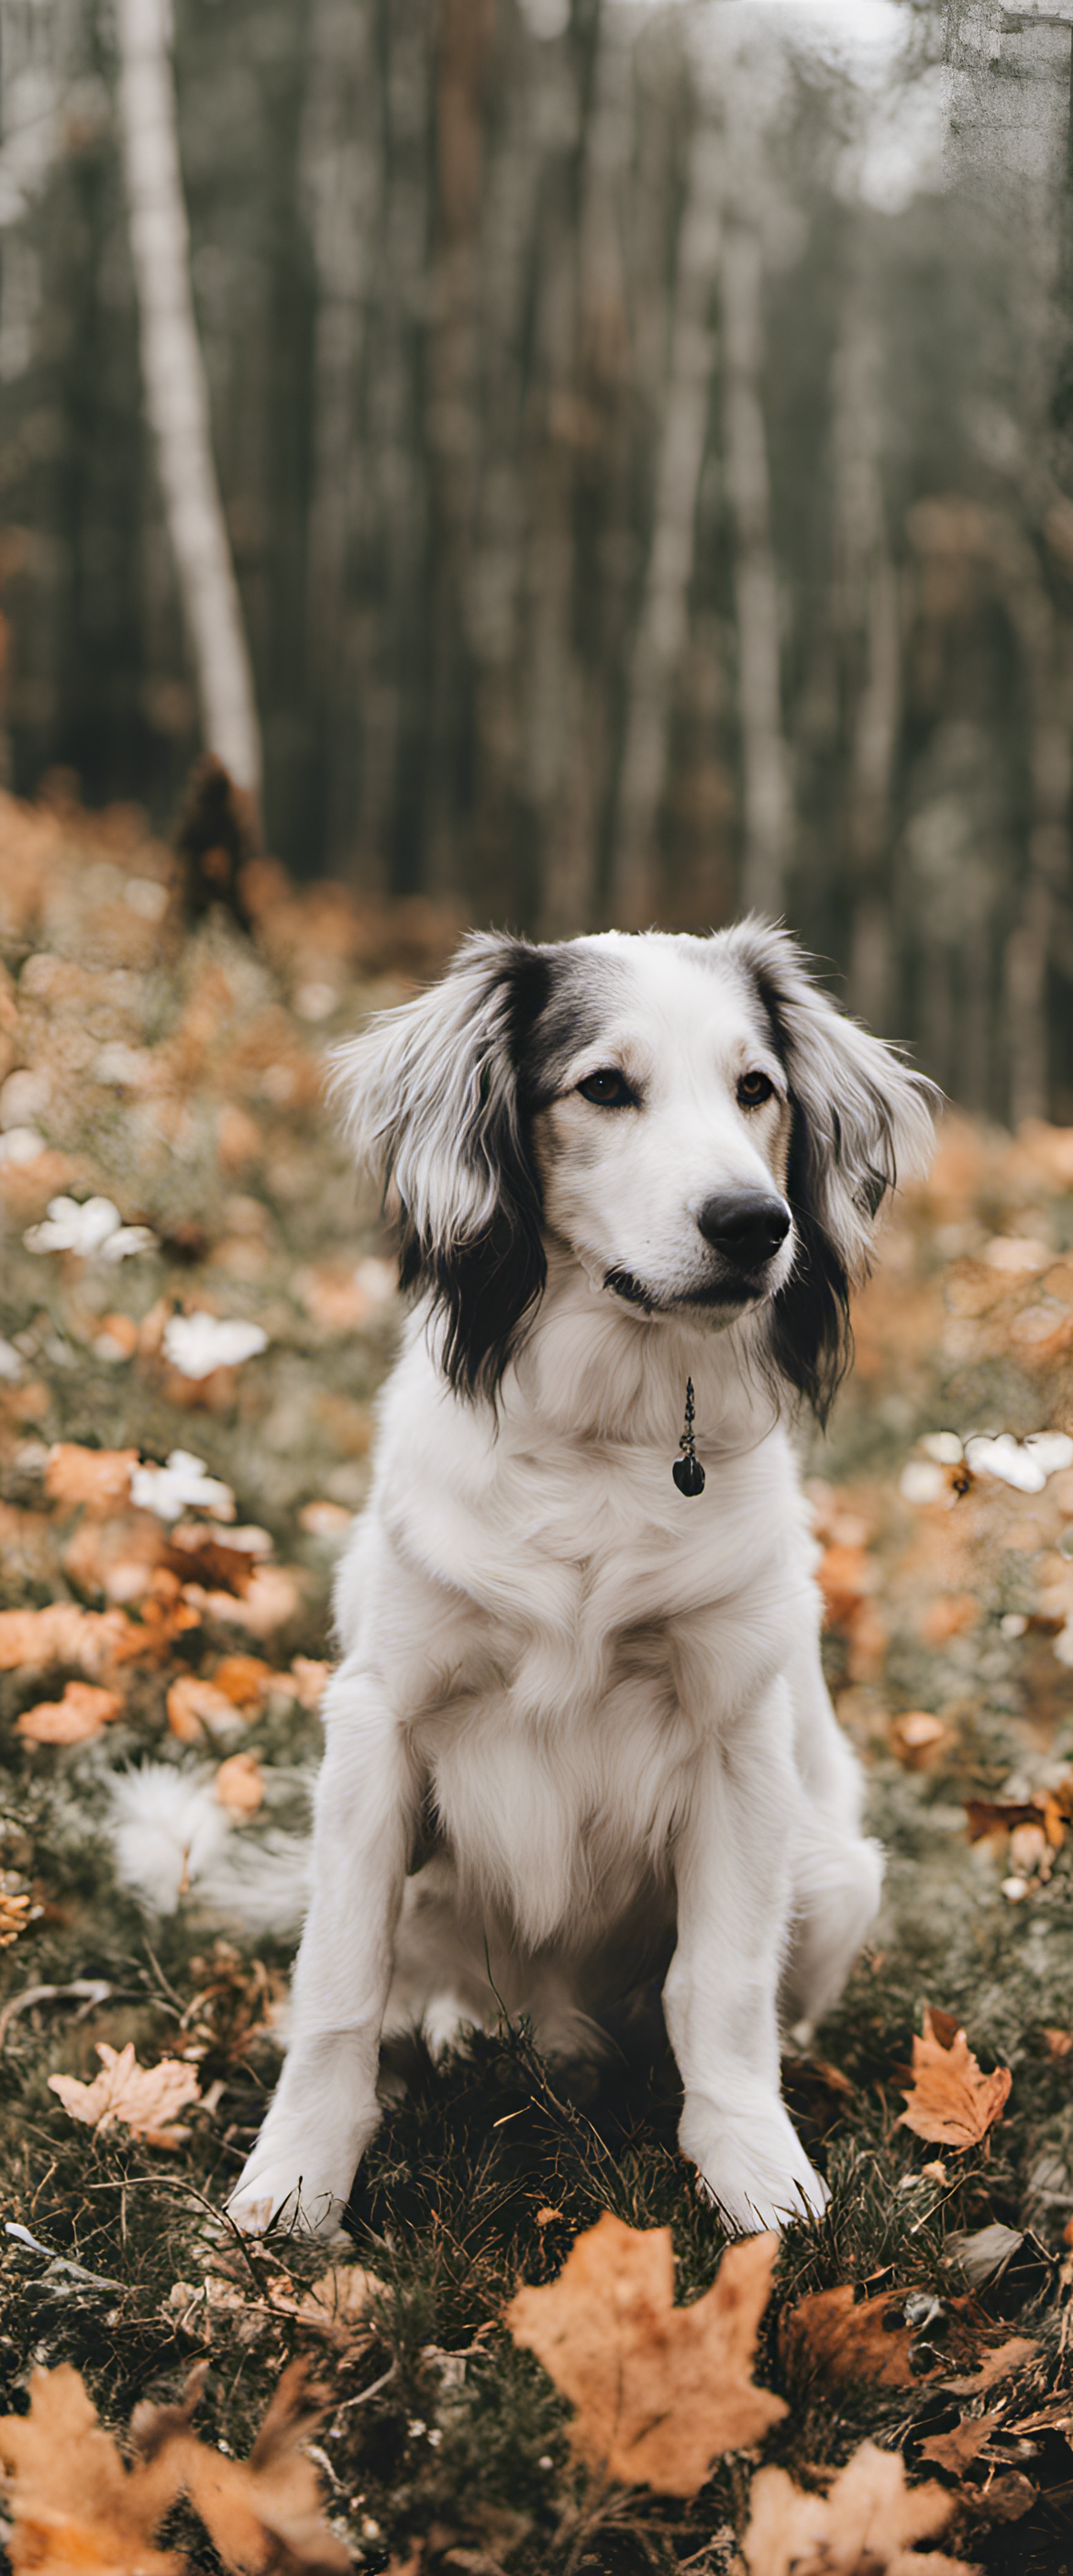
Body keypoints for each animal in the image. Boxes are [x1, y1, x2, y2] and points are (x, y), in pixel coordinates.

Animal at [230, 922, 931, 2236]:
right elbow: (339, 1981)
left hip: (834, 1871)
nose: (757, 1223)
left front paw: (753, 2167)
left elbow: (720, 1989)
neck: (606, 1446)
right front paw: (296, 2178)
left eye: (756, 1088)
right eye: (604, 1086)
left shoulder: (736, 1738)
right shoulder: (378, 1723)